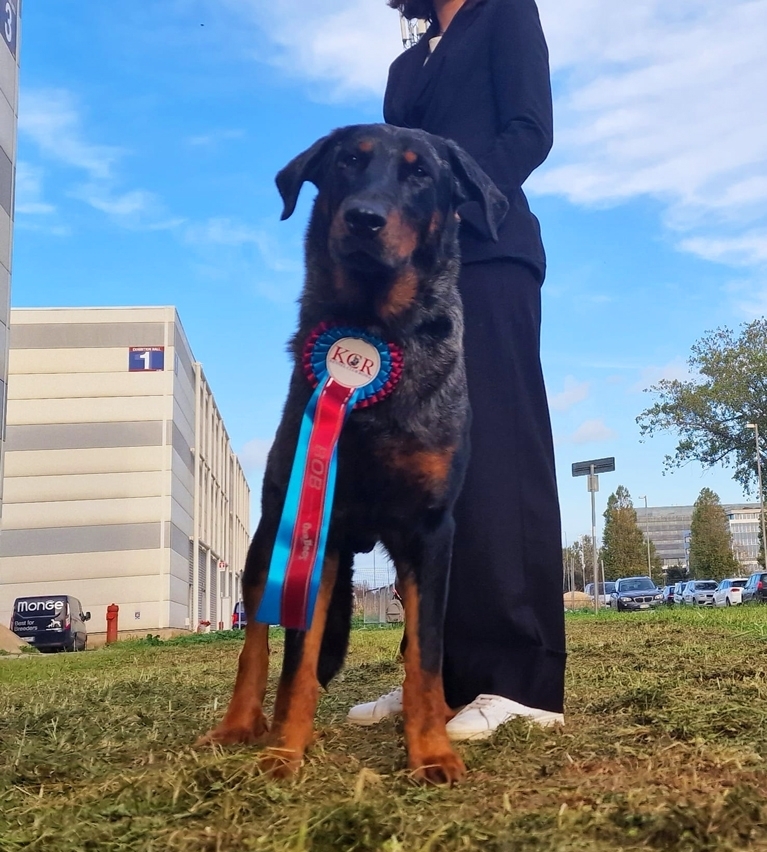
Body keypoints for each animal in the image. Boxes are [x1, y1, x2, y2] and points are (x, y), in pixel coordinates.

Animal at [201, 123, 508, 784]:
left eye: (420, 174)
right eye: (347, 162)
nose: (363, 218)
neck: (375, 330)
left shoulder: (430, 532)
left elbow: (424, 654)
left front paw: (431, 750)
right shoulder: (319, 530)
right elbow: (297, 658)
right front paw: (285, 752)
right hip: (268, 542)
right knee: (256, 640)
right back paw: (241, 725)